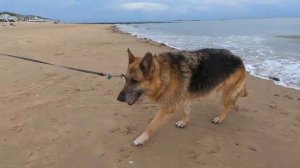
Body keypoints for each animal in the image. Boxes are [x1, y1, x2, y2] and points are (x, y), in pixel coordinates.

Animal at [116, 48, 247, 145]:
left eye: (135, 81)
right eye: (126, 79)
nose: (119, 99)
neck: (165, 75)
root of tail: (238, 59)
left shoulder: (168, 107)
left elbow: (152, 124)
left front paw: (142, 138)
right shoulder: (183, 97)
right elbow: (186, 110)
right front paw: (185, 122)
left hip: (224, 93)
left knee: (230, 105)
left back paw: (220, 118)